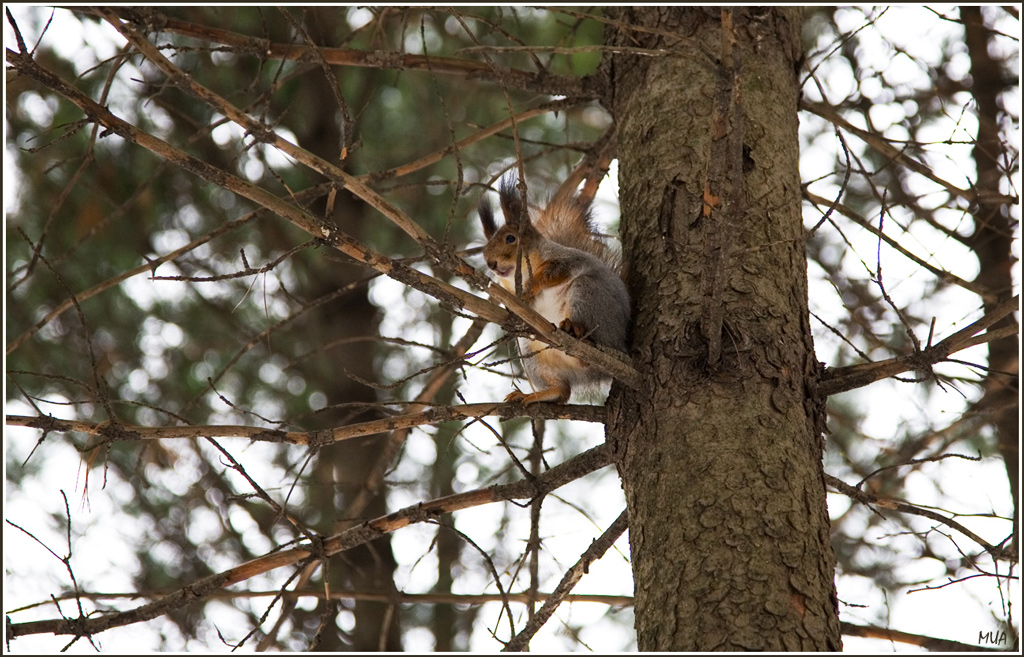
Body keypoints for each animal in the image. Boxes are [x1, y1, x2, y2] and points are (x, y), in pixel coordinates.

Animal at [479, 171, 630, 401]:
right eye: (484, 249)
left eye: (510, 238)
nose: (491, 264)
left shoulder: (567, 259)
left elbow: (557, 272)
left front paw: (532, 285)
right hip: (531, 354)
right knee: (563, 391)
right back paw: (534, 395)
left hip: (590, 298)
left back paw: (578, 332)